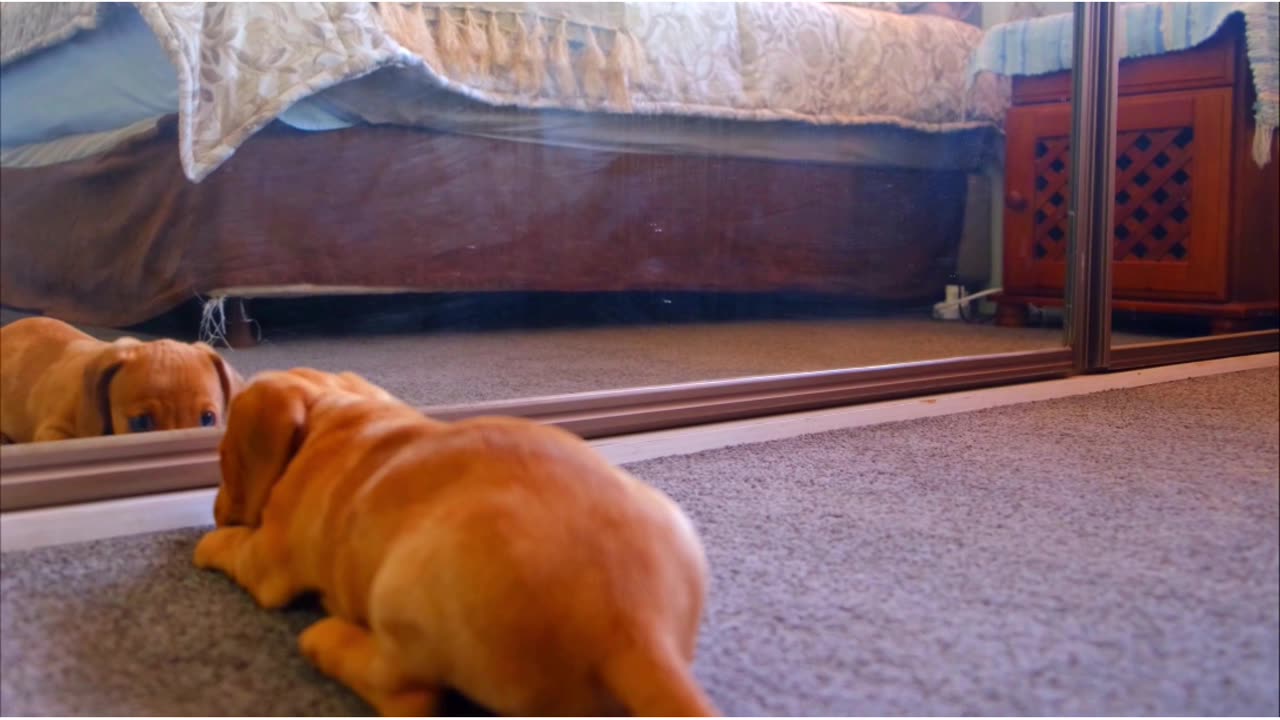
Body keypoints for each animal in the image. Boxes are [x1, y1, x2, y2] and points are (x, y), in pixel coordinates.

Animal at [194, 366, 716, 712]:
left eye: (222, 456)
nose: (215, 510)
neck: (339, 417)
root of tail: (635, 625)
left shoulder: (265, 559)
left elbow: (236, 548)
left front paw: (207, 545)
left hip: (400, 598)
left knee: (409, 695)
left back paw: (326, 640)